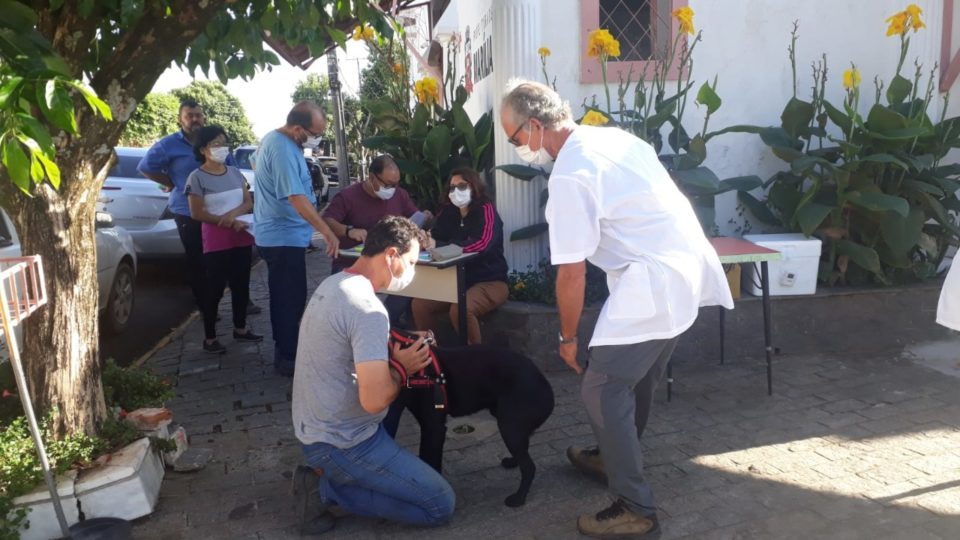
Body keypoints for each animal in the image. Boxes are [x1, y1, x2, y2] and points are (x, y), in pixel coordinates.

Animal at [382, 326, 556, 508]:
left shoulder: (433, 427)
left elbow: (430, 460)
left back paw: (518, 498)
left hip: (509, 426)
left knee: (529, 467)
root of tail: (545, 386)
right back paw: (512, 462)